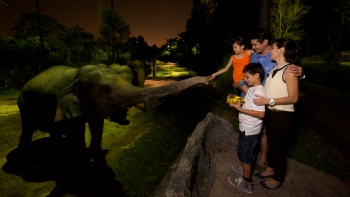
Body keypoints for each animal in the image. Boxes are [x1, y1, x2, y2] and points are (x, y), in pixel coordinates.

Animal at [17, 63, 208, 159]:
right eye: (105, 90)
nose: (208, 79)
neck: (77, 75)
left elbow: (96, 124)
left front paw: (96, 155)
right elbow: (78, 128)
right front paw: (83, 157)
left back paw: (57, 148)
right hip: (24, 104)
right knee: (27, 128)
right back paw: (26, 154)